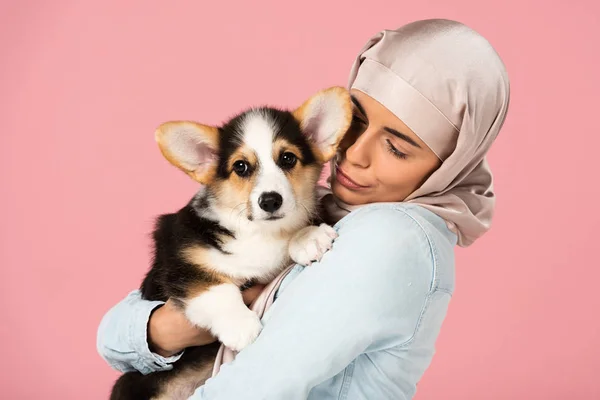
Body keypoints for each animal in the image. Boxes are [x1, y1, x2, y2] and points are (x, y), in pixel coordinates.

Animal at [109, 86, 352, 398]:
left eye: (288, 158)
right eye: (241, 166)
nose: (270, 201)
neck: (258, 232)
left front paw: (309, 237)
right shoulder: (178, 261)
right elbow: (215, 288)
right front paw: (242, 327)